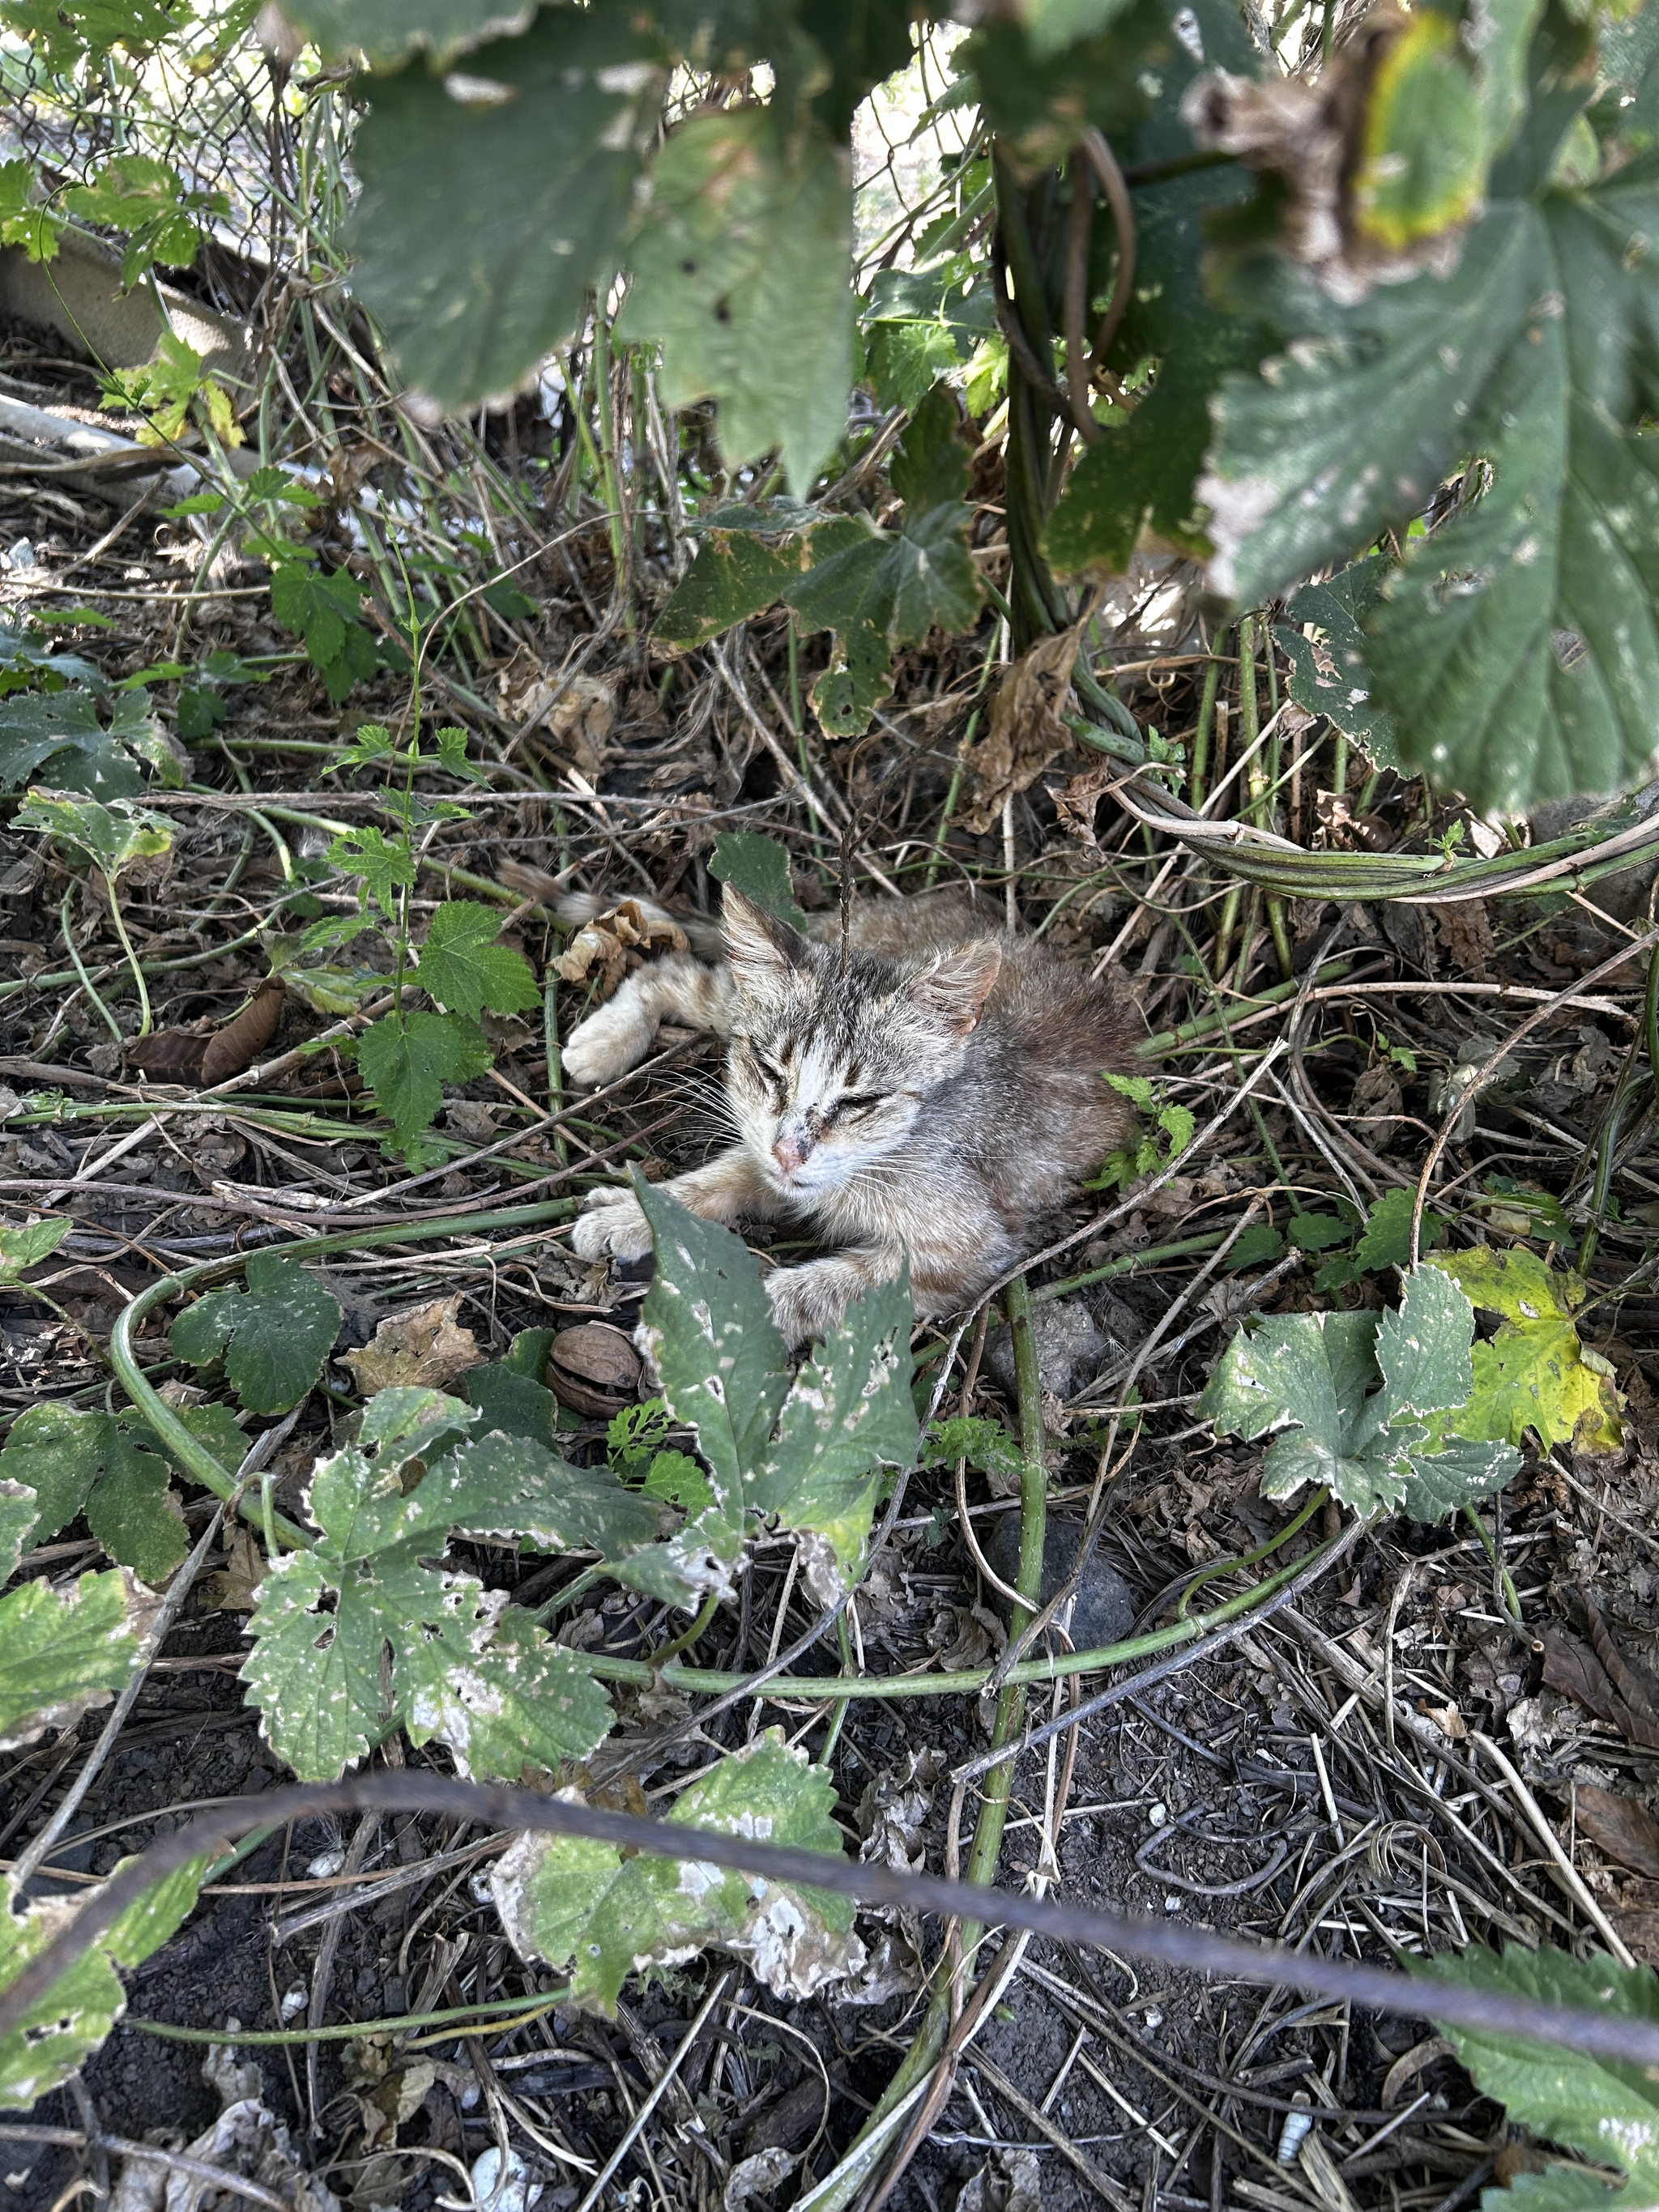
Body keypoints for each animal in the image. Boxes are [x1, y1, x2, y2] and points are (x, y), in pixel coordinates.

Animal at [559, 884, 1141, 1345]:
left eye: (859, 1102)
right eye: (770, 1071)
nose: (788, 1152)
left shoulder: (969, 1249)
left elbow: (820, 1288)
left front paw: (715, 1331)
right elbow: (729, 1172)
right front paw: (634, 1212)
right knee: (674, 972)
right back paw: (603, 1041)